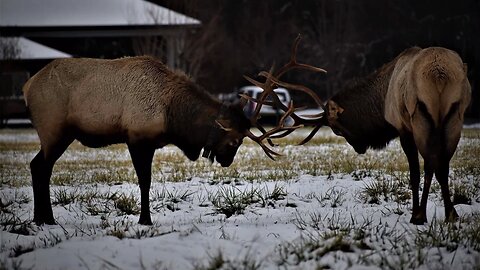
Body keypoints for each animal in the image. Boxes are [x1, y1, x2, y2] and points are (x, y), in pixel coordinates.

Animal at [24, 55, 290, 226]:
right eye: (235, 141)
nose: (227, 161)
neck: (172, 117)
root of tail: (27, 87)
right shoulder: (137, 137)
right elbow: (145, 181)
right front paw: (145, 220)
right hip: (54, 130)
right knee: (41, 166)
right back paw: (46, 218)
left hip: (59, 135)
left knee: (37, 166)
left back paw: (42, 218)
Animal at [251, 37, 472, 224]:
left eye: (337, 130)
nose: (359, 148)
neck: (382, 100)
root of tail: (439, 74)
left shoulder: (403, 128)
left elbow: (415, 173)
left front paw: (416, 212)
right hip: (455, 116)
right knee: (442, 166)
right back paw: (451, 214)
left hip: (420, 116)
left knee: (431, 165)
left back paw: (421, 216)